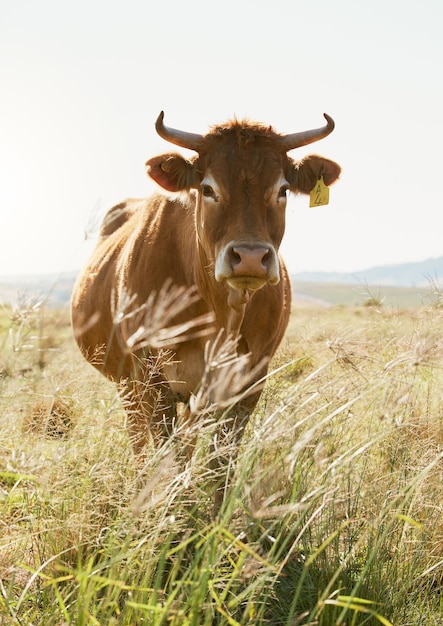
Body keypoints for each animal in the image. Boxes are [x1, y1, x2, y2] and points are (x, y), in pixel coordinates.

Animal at [71, 112, 342, 510]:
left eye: (282, 189)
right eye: (208, 188)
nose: (250, 257)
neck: (219, 311)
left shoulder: (249, 380)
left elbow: (220, 460)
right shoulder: (151, 377)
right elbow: (164, 453)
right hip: (127, 381)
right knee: (140, 439)